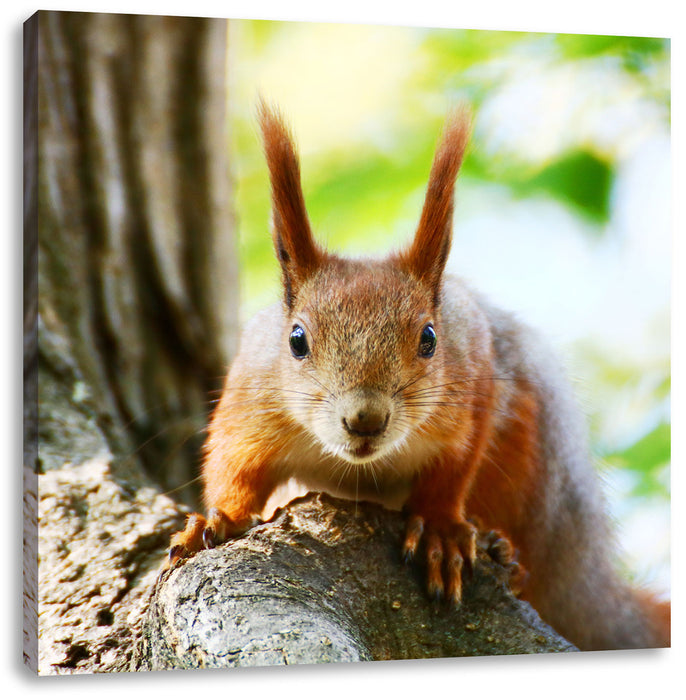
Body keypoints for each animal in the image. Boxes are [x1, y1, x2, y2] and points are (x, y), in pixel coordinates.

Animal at [167, 102, 672, 652]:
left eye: (430, 338)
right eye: (296, 340)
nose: (365, 420)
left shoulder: (473, 385)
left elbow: (453, 468)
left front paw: (439, 530)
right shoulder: (251, 401)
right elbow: (234, 466)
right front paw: (219, 519)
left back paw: (505, 553)